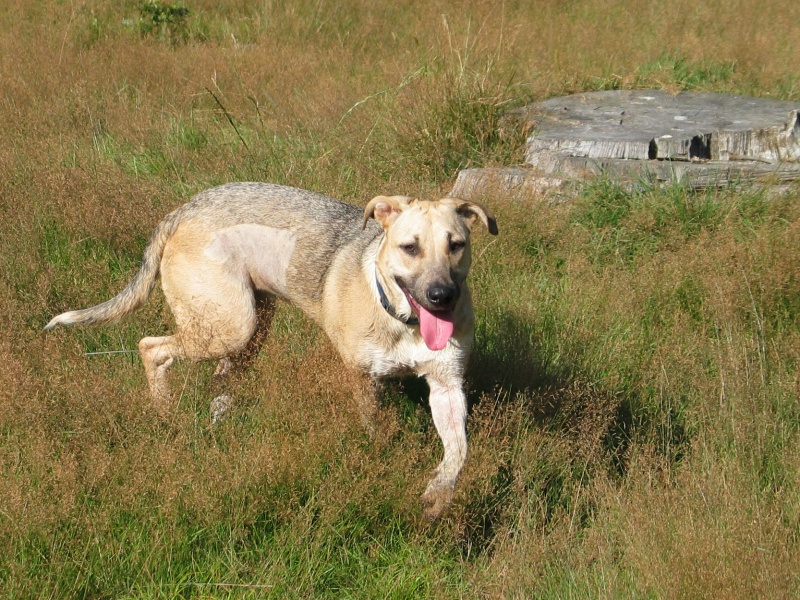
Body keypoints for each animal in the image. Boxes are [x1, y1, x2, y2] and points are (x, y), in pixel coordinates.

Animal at [47, 180, 496, 516]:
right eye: (410, 247)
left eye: (456, 244)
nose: (441, 296)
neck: (403, 321)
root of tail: (184, 209)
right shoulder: (363, 378)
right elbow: (377, 432)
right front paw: (383, 461)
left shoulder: (447, 386)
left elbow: (458, 452)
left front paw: (438, 496)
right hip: (229, 327)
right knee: (150, 348)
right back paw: (166, 415)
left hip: (249, 330)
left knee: (218, 384)